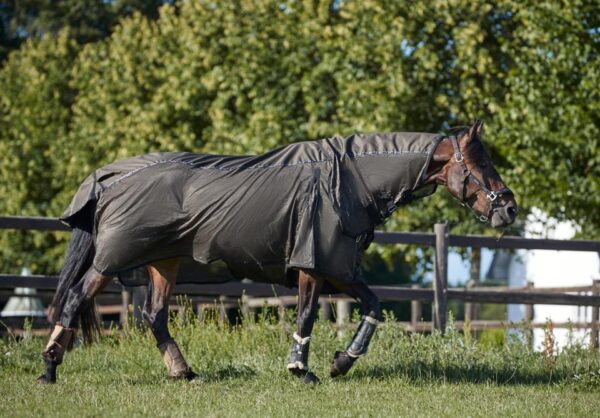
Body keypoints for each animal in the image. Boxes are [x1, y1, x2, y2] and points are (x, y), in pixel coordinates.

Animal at [36, 119, 516, 384]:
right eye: (482, 163)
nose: (508, 207)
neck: (350, 179)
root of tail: (109, 178)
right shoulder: (314, 265)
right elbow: (305, 316)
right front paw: (302, 370)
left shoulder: (340, 269)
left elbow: (374, 306)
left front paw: (342, 362)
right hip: (111, 260)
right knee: (76, 298)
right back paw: (49, 368)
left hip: (163, 263)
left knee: (154, 315)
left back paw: (183, 372)